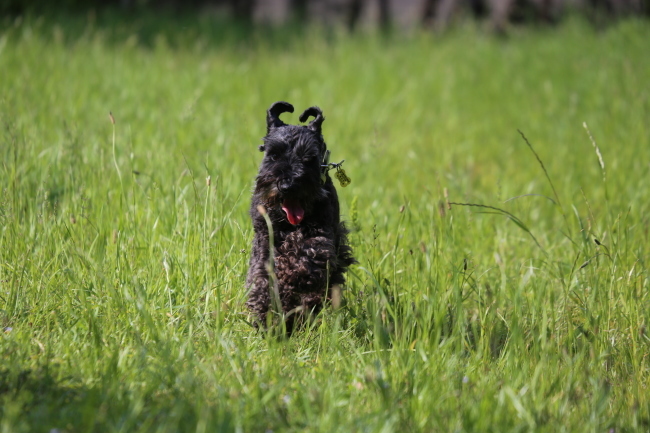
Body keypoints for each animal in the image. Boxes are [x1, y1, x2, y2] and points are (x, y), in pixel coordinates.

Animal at [246, 101, 354, 330]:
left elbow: (307, 256)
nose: (288, 186)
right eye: (273, 155)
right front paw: (265, 309)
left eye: (308, 158)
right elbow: (263, 274)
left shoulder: (320, 237)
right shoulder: (265, 240)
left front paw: (296, 281)